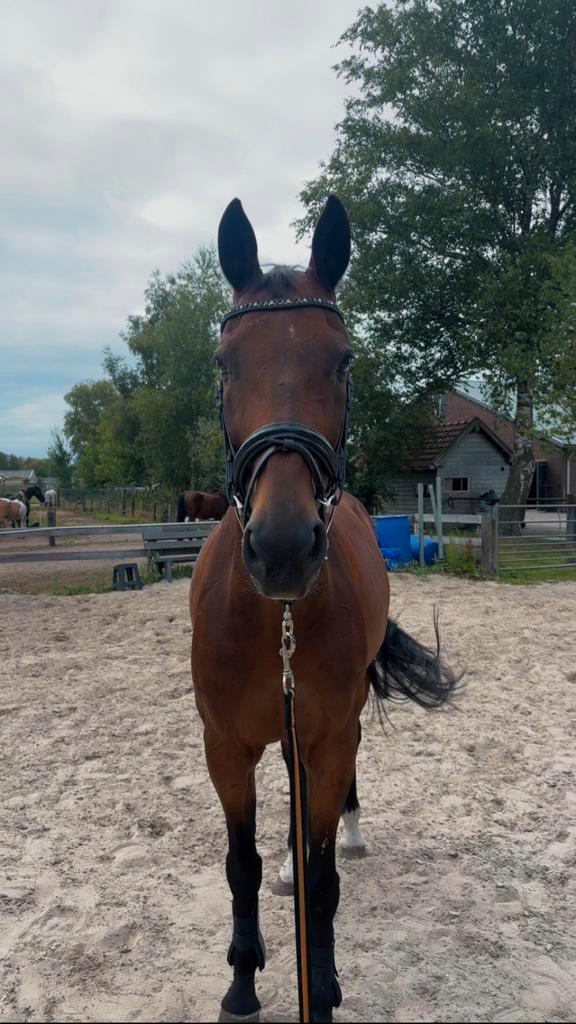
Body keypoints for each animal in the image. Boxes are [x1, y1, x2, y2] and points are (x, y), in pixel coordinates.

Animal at [190, 196, 457, 1023]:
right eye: (224, 364)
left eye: (342, 361)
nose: (283, 548)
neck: (272, 618)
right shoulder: (224, 746)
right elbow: (239, 864)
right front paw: (243, 981)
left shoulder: (332, 738)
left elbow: (325, 874)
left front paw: (326, 983)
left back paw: (353, 832)